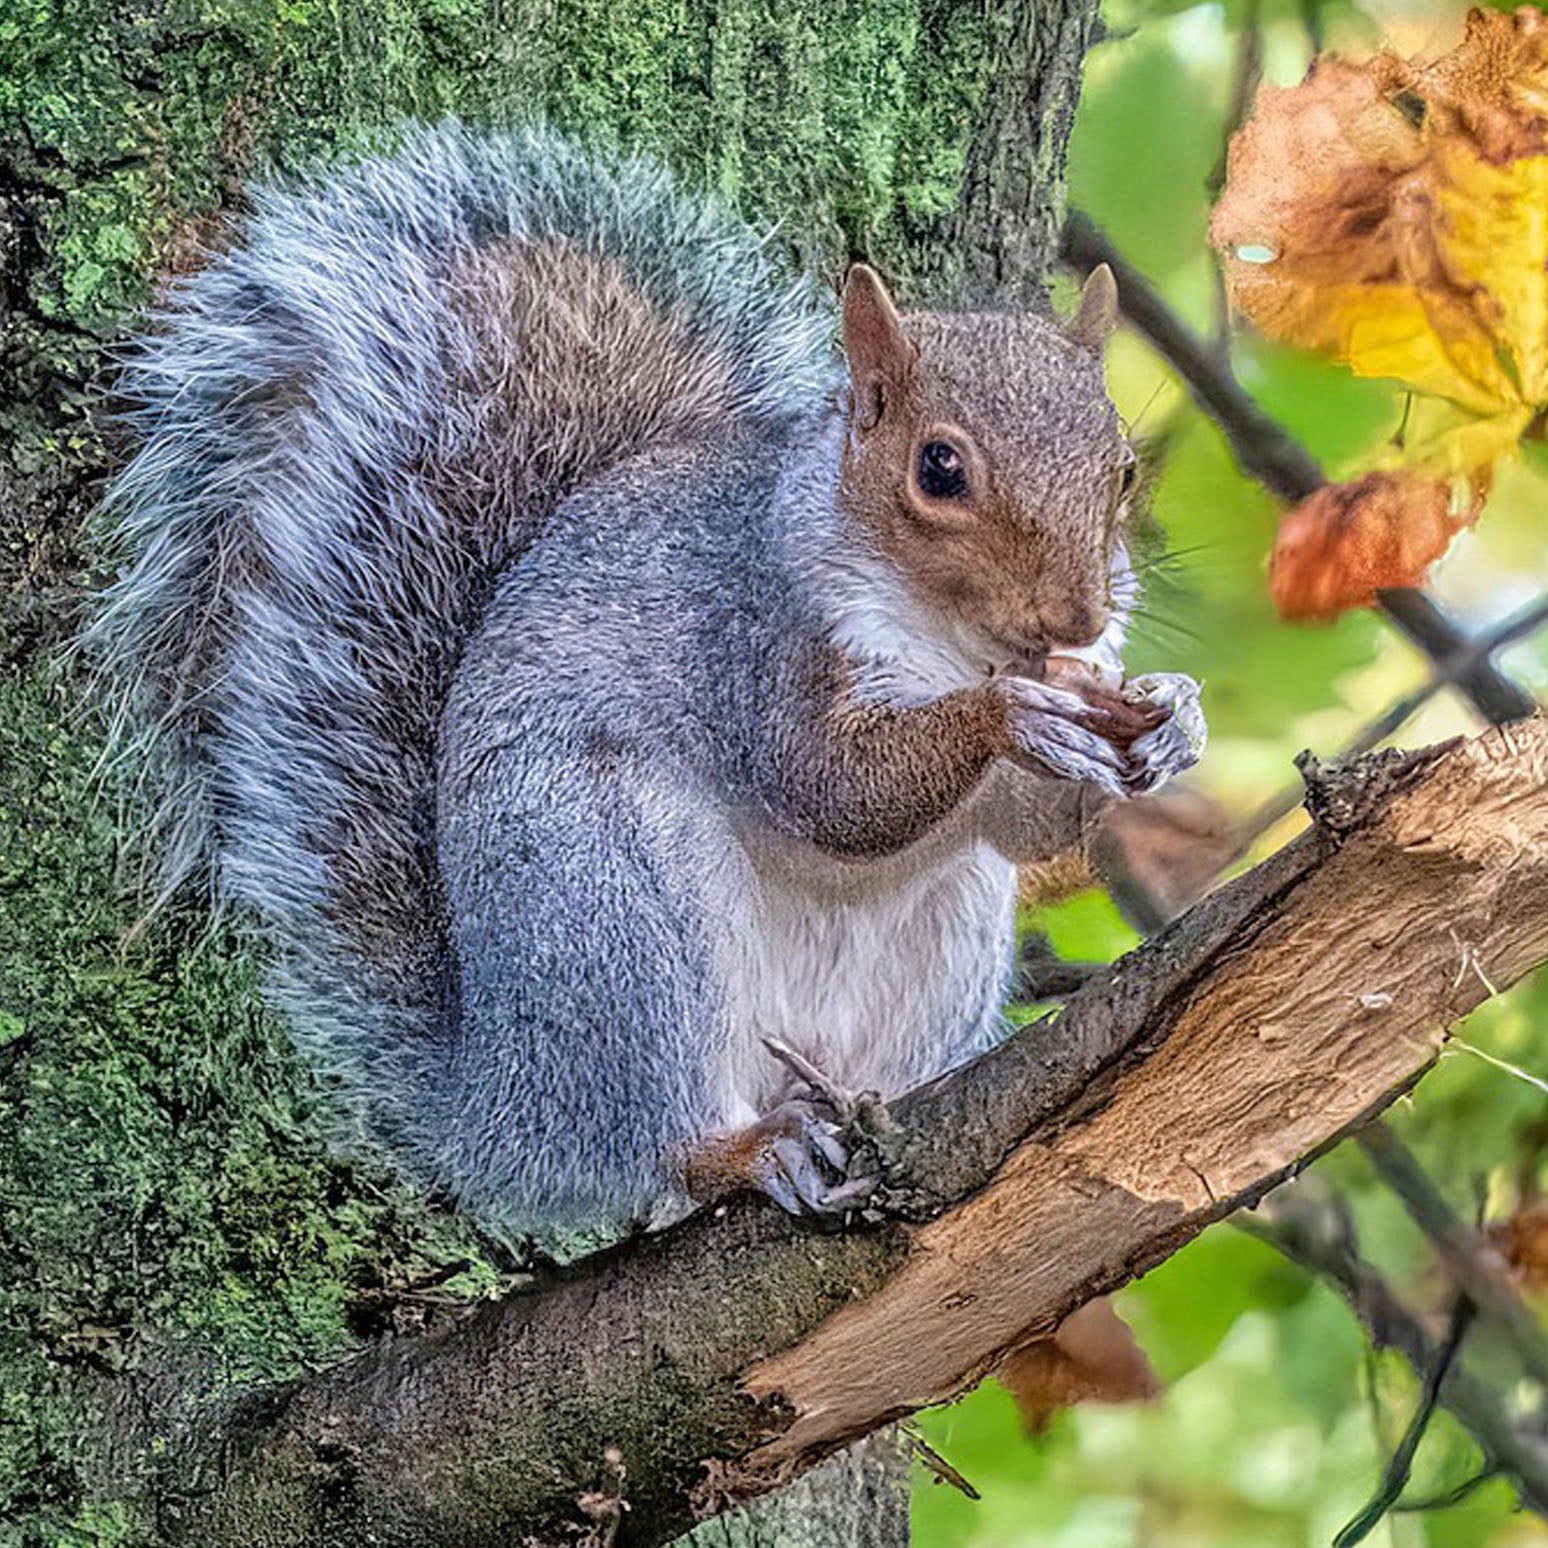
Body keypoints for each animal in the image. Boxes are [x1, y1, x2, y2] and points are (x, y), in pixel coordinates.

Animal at [91, 123, 1206, 1243]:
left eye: (1122, 470)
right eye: (939, 469)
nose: (1080, 616)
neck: (953, 641)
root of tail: (500, 1107)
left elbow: (1027, 831)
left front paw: (1168, 722)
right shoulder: (754, 640)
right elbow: (834, 790)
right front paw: (1011, 716)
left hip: (942, 941)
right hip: (618, 906)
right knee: (655, 1141)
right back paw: (739, 1150)